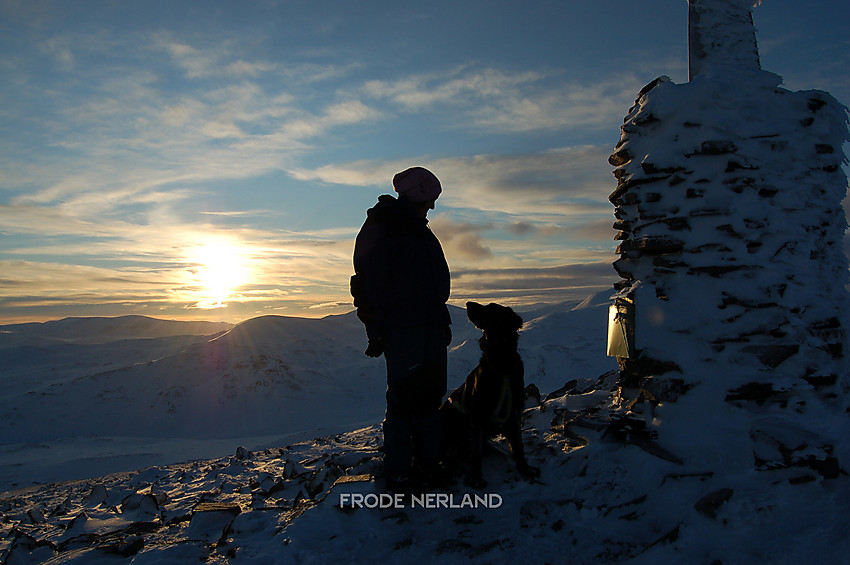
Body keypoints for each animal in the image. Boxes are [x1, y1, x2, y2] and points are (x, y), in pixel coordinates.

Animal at [440, 300, 540, 490]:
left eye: (490, 308)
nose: (468, 303)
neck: (502, 363)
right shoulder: (477, 414)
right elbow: (475, 452)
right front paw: (476, 478)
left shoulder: (514, 412)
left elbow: (519, 446)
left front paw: (525, 469)